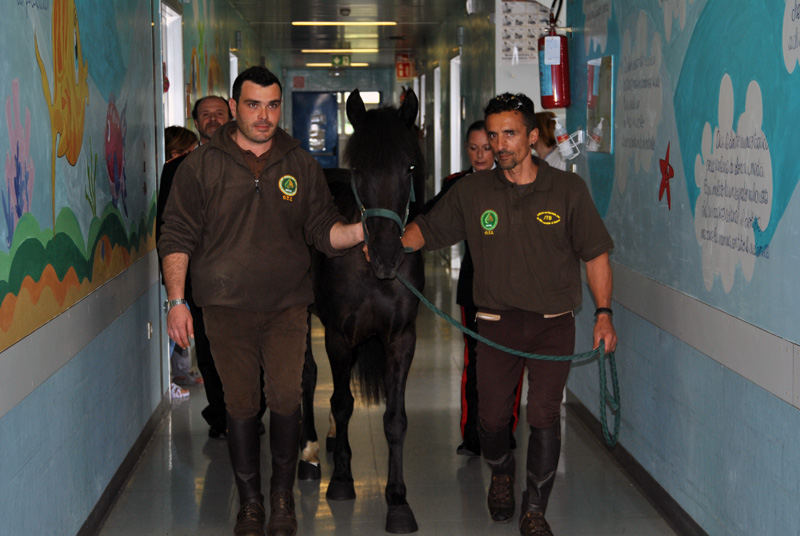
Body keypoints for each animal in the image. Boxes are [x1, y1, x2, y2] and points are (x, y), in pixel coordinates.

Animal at [300, 90, 424, 532]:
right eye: (360, 169)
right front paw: (341, 479)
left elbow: (396, 419)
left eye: (408, 166)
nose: (388, 257)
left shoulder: (402, 338)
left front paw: (398, 500)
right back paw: (309, 452)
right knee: (307, 377)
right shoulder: (338, 336)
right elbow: (341, 401)